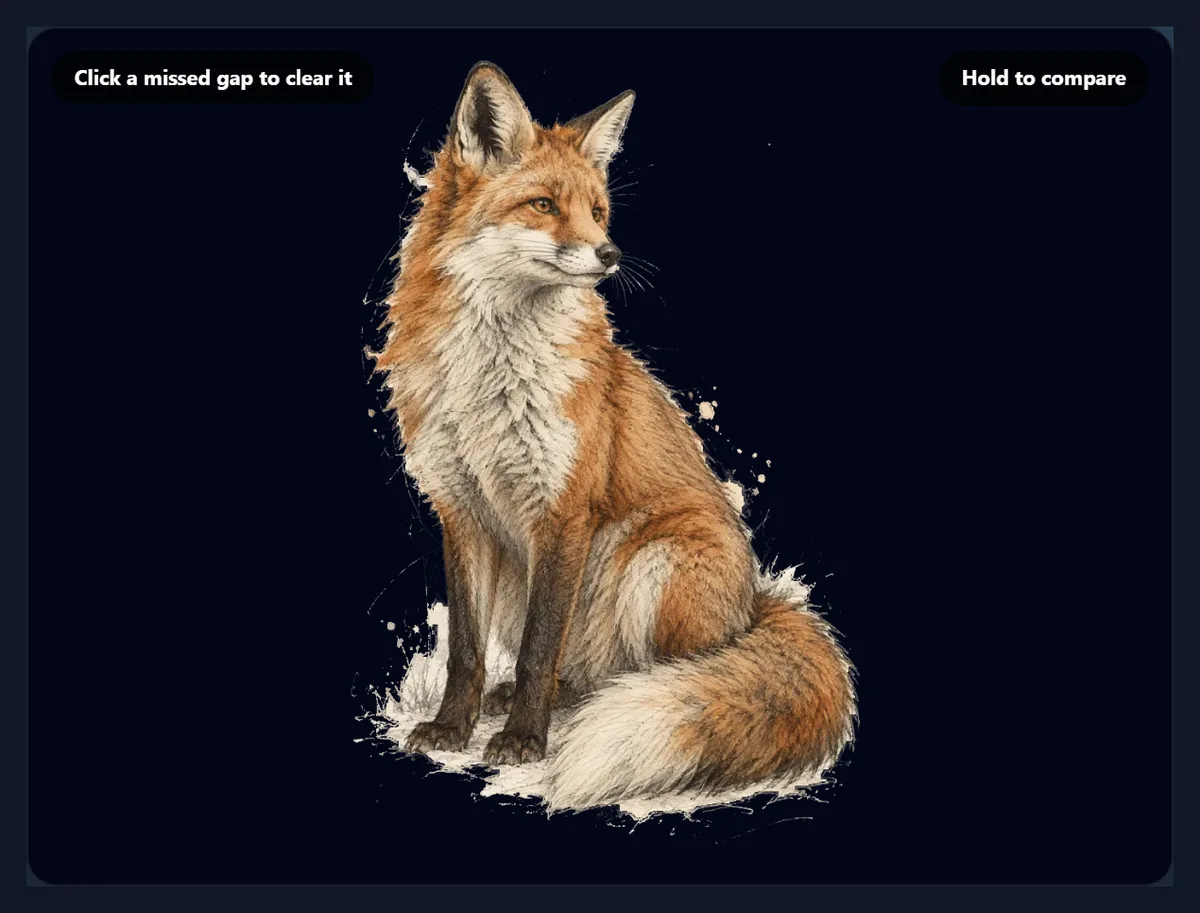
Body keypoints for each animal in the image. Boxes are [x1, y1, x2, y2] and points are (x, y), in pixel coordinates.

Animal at [371, 61, 856, 809]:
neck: (491, 376)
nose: (610, 253)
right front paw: (454, 727)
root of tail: (755, 605)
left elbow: (539, 647)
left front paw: (522, 742)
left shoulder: (563, 508)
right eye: (543, 205)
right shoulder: (462, 511)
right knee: (580, 675)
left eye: (598, 211)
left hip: (654, 563)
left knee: (673, 676)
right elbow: (467, 650)